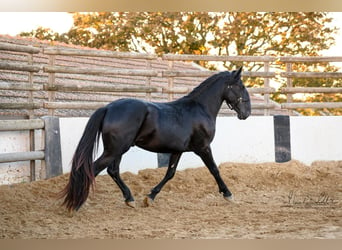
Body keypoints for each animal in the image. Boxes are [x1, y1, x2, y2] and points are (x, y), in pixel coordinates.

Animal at [60, 68, 251, 211]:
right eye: (240, 86)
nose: (247, 112)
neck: (199, 109)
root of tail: (108, 107)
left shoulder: (178, 151)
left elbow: (170, 174)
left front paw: (150, 197)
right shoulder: (203, 148)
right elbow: (214, 170)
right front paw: (228, 195)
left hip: (118, 150)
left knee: (112, 171)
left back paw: (129, 199)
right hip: (115, 149)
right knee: (93, 169)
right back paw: (79, 204)